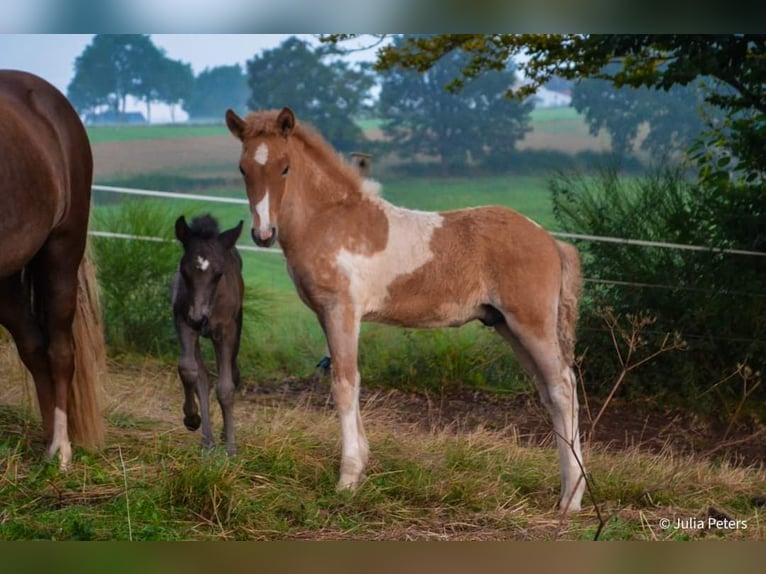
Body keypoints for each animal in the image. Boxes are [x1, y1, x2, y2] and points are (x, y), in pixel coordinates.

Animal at [228, 107, 588, 512]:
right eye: (243, 168)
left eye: (285, 167)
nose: (263, 234)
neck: (332, 220)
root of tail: (550, 240)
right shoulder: (328, 315)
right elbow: (352, 381)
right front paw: (362, 466)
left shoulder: (341, 311)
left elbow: (344, 384)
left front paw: (347, 479)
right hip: (507, 326)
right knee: (549, 391)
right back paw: (566, 490)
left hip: (530, 323)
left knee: (563, 386)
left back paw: (572, 499)